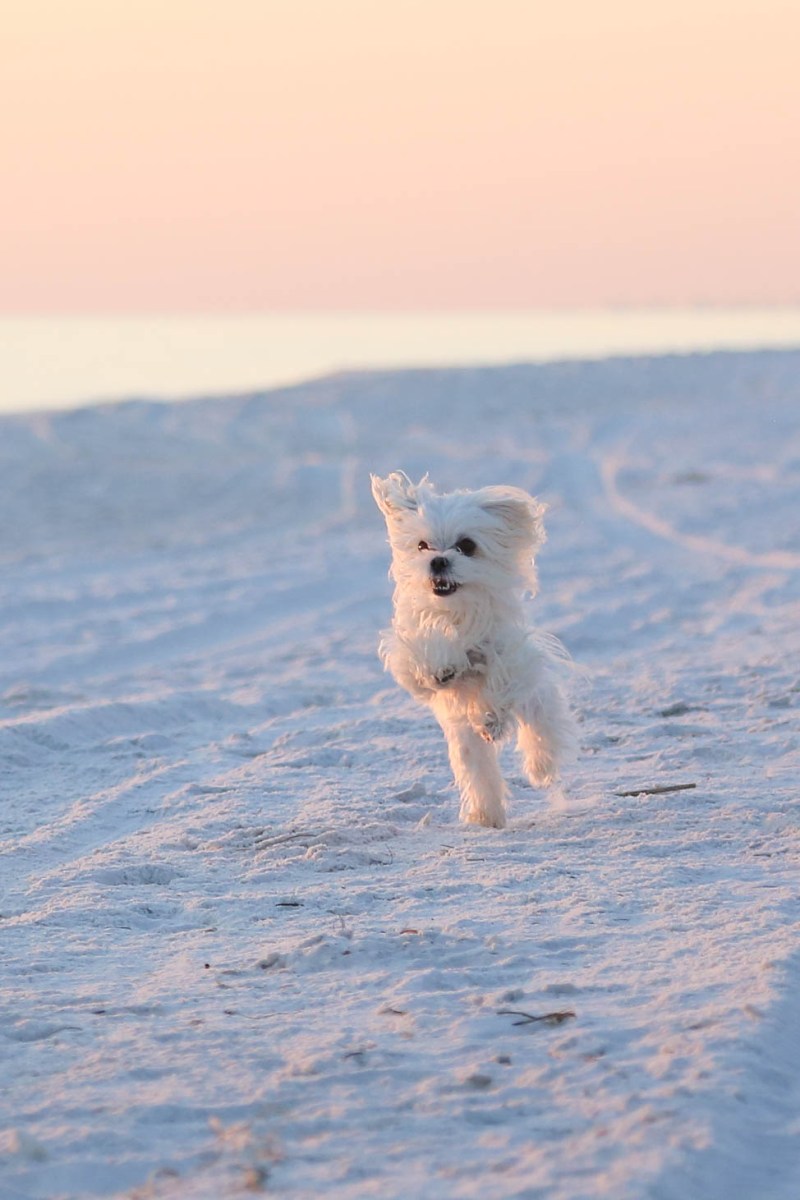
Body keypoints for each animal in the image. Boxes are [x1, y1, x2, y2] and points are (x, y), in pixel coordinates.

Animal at [371, 472, 573, 830]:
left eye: (466, 545)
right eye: (422, 545)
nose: (438, 560)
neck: (459, 613)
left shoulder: (511, 653)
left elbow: (500, 675)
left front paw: (491, 717)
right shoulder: (411, 651)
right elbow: (425, 661)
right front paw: (444, 667)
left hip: (536, 700)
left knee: (541, 728)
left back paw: (541, 767)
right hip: (464, 740)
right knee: (478, 770)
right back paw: (486, 814)